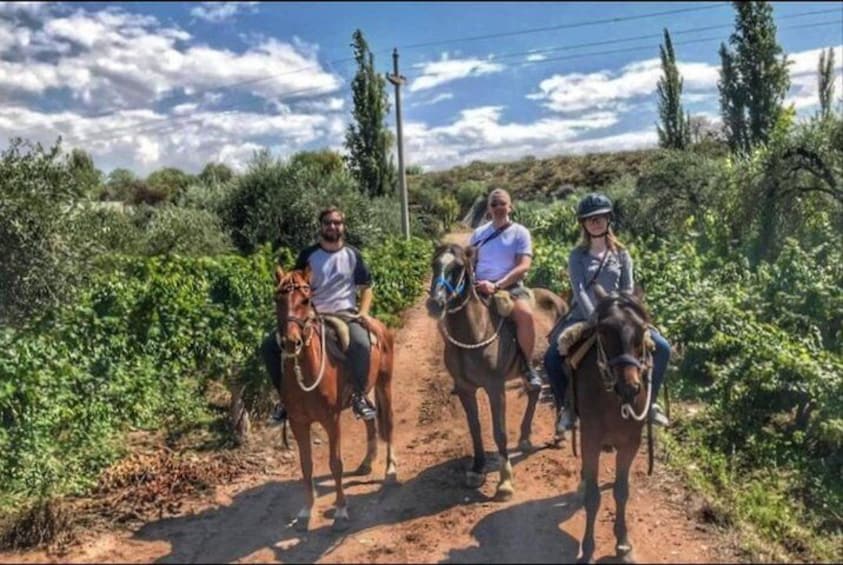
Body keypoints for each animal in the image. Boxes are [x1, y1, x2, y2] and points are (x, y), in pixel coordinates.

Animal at [274, 266, 398, 532]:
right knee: (369, 418)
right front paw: (306, 511)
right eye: (277, 300)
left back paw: (390, 469)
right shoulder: (299, 423)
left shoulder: (331, 420)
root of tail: (378, 325)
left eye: (306, 300)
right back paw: (366, 462)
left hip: (384, 383)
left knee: (389, 422)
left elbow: (335, 463)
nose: (291, 342)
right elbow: (306, 465)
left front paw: (341, 511)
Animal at [428, 242, 568, 498]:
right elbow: (475, 428)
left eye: (458, 267)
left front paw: (505, 482)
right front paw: (477, 469)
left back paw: (559, 435)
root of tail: (559, 300)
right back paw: (525, 438)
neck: (474, 331)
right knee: (534, 391)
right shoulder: (465, 389)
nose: (435, 304)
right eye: (434, 264)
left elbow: (499, 431)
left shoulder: (495, 387)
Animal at [568, 288, 660, 560]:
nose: (629, 388)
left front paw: (622, 542)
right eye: (604, 330)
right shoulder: (590, 440)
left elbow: (621, 491)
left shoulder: (631, 443)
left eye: (642, 330)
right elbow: (593, 497)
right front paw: (587, 547)